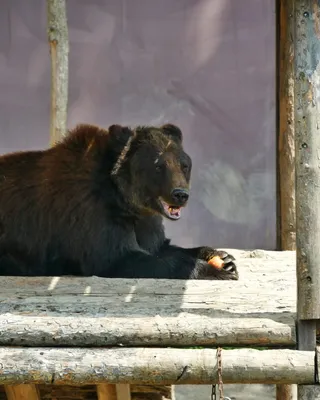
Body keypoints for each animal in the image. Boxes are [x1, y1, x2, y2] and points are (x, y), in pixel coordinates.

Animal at [0, 123, 239, 280]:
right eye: (158, 165)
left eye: (184, 165)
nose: (180, 194)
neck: (128, 202)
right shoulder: (94, 216)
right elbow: (119, 258)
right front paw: (214, 270)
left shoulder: (147, 222)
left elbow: (161, 246)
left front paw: (224, 259)